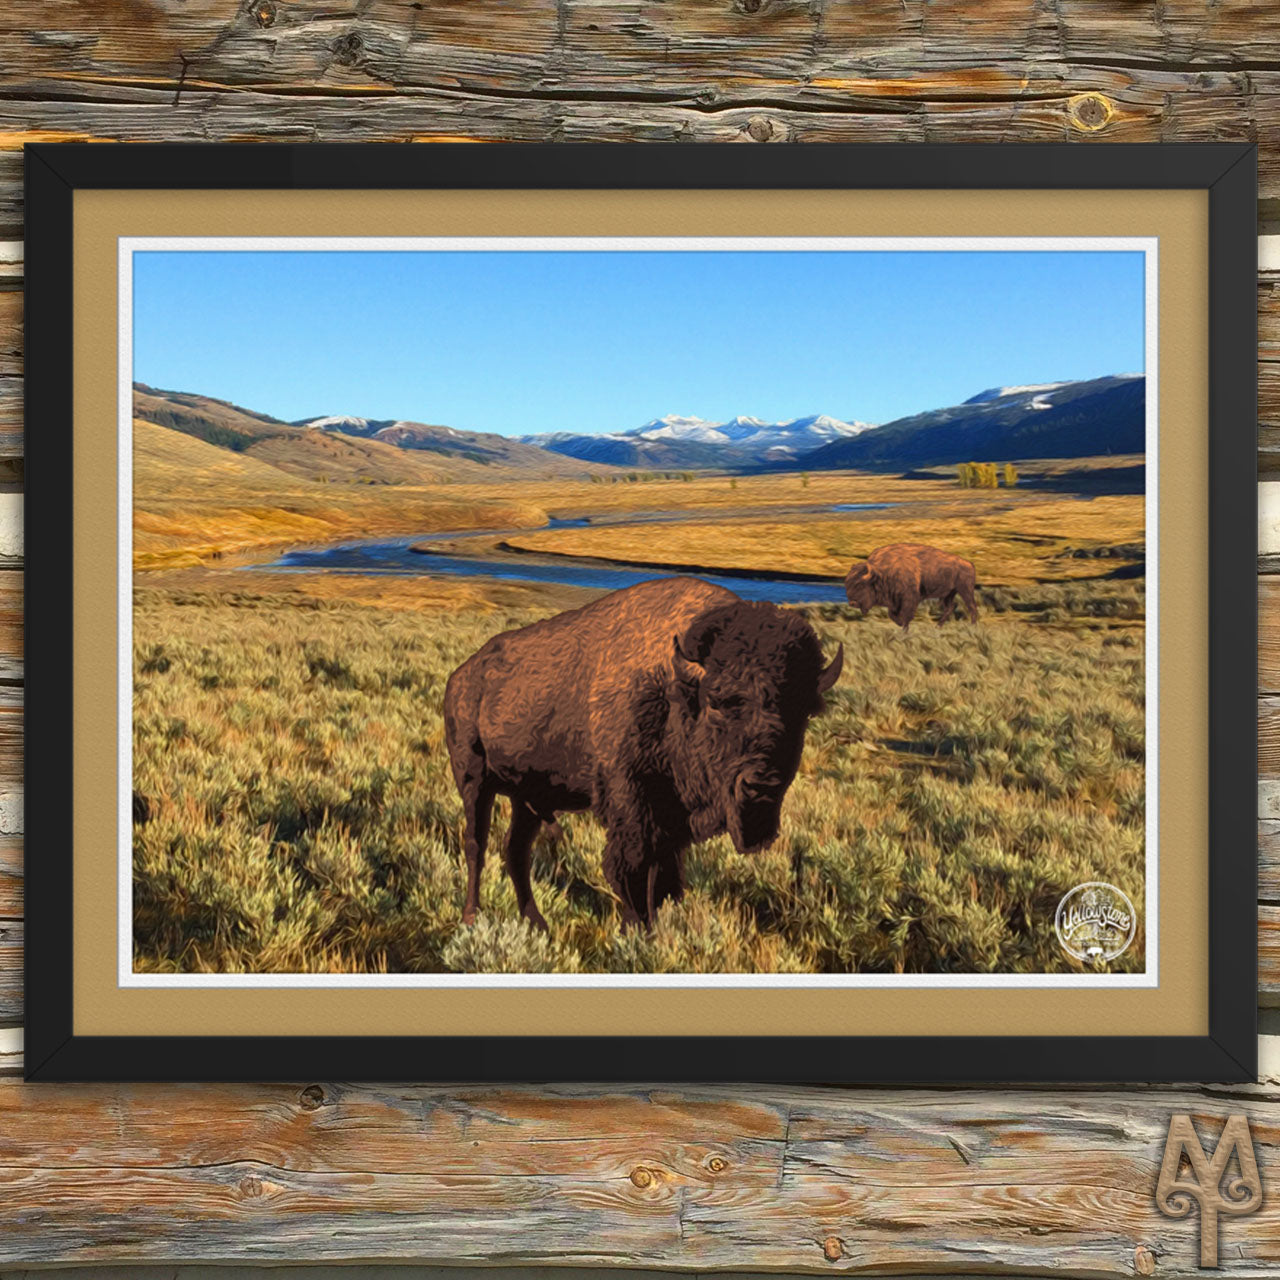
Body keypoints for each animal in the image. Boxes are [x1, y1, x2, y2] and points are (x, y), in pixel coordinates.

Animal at [445, 581, 844, 931]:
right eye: (718, 701)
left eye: (806, 710)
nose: (761, 785)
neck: (674, 687)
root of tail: (461, 676)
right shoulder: (632, 807)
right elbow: (632, 875)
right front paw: (637, 934)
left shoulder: (672, 824)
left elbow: (665, 883)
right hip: (474, 780)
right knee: (476, 844)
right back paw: (471, 917)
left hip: (527, 798)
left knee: (516, 851)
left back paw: (536, 923)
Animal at [839, 542, 977, 637]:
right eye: (847, 584)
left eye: (860, 585)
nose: (852, 603)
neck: (882, 572)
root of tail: (969, 564)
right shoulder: (894, 602)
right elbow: (892, 615)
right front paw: (900, 625)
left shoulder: (910, 598)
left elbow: (906, 616)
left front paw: (903, 630)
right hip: (948, 594)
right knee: (951, 607)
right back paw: (938, 627)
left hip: (965, 590)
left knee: (972, 607)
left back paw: (972, 627)